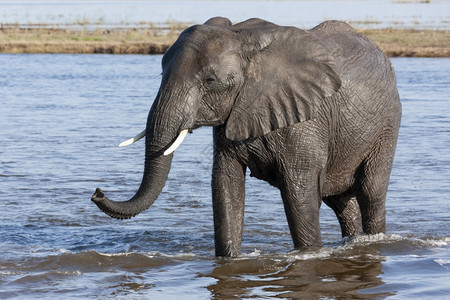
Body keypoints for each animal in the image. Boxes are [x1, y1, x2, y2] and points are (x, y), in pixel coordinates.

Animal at [91, 17, 400, 258]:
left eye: (210, 81)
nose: (97, 192)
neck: (245, 41)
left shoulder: (306, 120)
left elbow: (299, 194)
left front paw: (309, 256)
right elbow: (226, 186)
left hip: (387, 124)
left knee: (370, 190)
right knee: (339, 200)